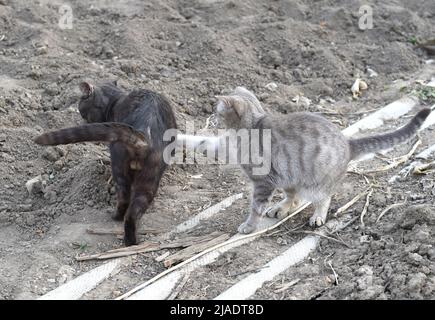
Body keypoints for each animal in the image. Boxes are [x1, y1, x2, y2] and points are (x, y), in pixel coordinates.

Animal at [34, 81, 177, 246]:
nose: (82, 120)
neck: (116, 99)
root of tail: (143, 135)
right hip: (150, 176)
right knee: (134, 211)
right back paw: (132, 242)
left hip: (119, 164)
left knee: (124, 199)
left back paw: (115, 218)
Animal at [213, 86, 430, 234]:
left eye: (217, 112)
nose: (212, 120)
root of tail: (347, 143)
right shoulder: (274, 179)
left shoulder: (262, 183)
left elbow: (256, 208)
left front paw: (248, 226)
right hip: (289, 175)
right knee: (293, 197)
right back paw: (281, 208)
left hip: (316, 183)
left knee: (323, 198)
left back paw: (317, 216)